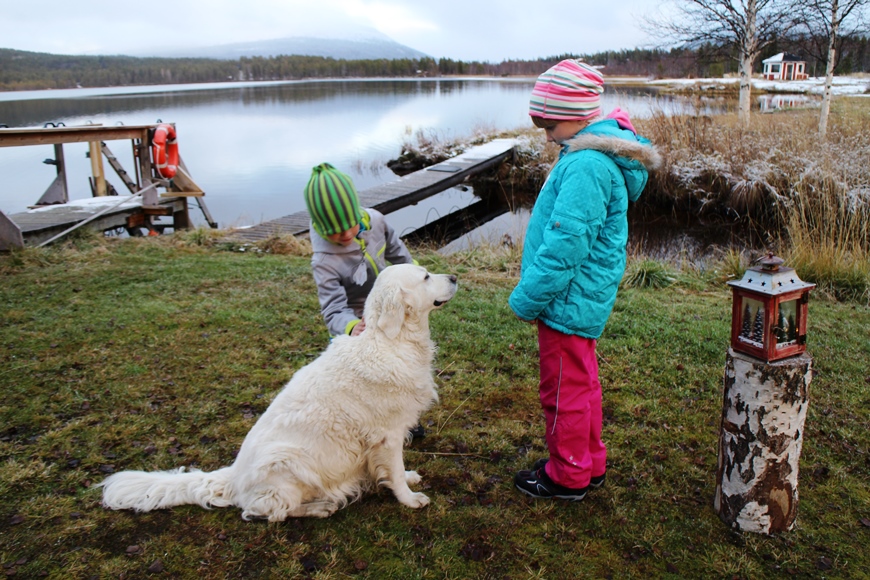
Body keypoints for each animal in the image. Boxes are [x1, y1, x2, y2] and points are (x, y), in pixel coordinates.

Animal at [99, 266, 460, 520]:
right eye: (426, 277)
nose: (455, 277)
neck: (391, 341)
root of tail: (233, 477)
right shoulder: (387, 435)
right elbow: (393, 472)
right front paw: (409, 499)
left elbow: (397, 470)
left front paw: (409, 478)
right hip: (287, 461)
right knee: (266, 513)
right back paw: (318, 508)